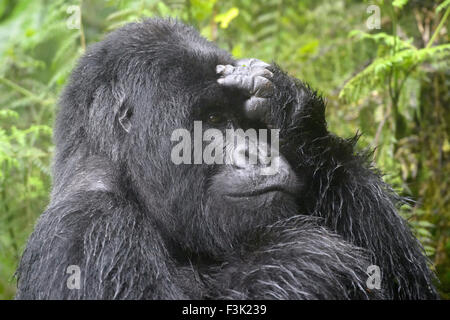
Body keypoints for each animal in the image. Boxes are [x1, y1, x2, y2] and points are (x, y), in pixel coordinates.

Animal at [15, 18, 438, 300]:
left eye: (252, 125)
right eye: (215, 120)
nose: (259, 152)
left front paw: (294, 116)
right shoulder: (90, 227)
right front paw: (305, 261)